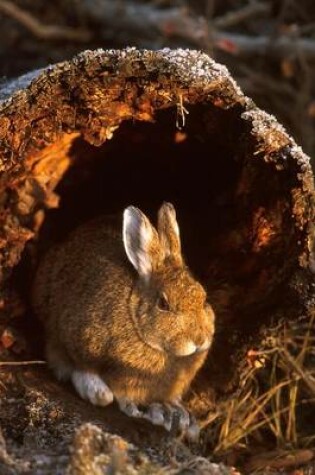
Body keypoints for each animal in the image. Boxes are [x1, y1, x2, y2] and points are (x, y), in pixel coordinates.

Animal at [32, 203, 215, 440]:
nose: (200, 341)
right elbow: (84, 371)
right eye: (163, 304)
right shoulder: (75, 338)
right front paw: (108, 397)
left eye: (204, 298)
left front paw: (176, 412)